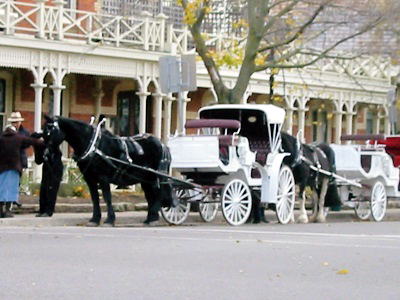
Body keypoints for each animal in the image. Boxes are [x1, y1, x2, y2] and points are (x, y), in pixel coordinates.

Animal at [43, 116, 173, 226]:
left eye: (50, 132)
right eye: (43, 134)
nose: (46, 156)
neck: (94, 146)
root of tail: (162, 144)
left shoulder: (103, 178)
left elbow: (107, 198)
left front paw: (110, 219)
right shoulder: (90, 179)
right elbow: (95, 199)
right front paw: (95, 219)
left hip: (156, 176)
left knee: (159, 193)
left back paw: (154, 217)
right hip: (146, 179)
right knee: (150, 196)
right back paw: (150, 218)